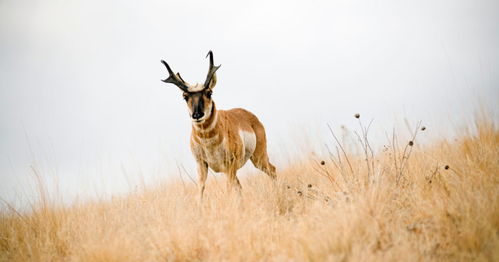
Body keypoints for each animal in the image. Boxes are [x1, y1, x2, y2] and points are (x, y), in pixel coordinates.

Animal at [161, 50, 276, 200]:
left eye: (209, 93)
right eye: (185, 96)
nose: (197, 115)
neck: (208, 142)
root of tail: (249, 115)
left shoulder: (230, 165)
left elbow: (227, 190)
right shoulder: (202, 165)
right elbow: (200, 190)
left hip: (258, 158)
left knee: (272, 170)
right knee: (240, 187)